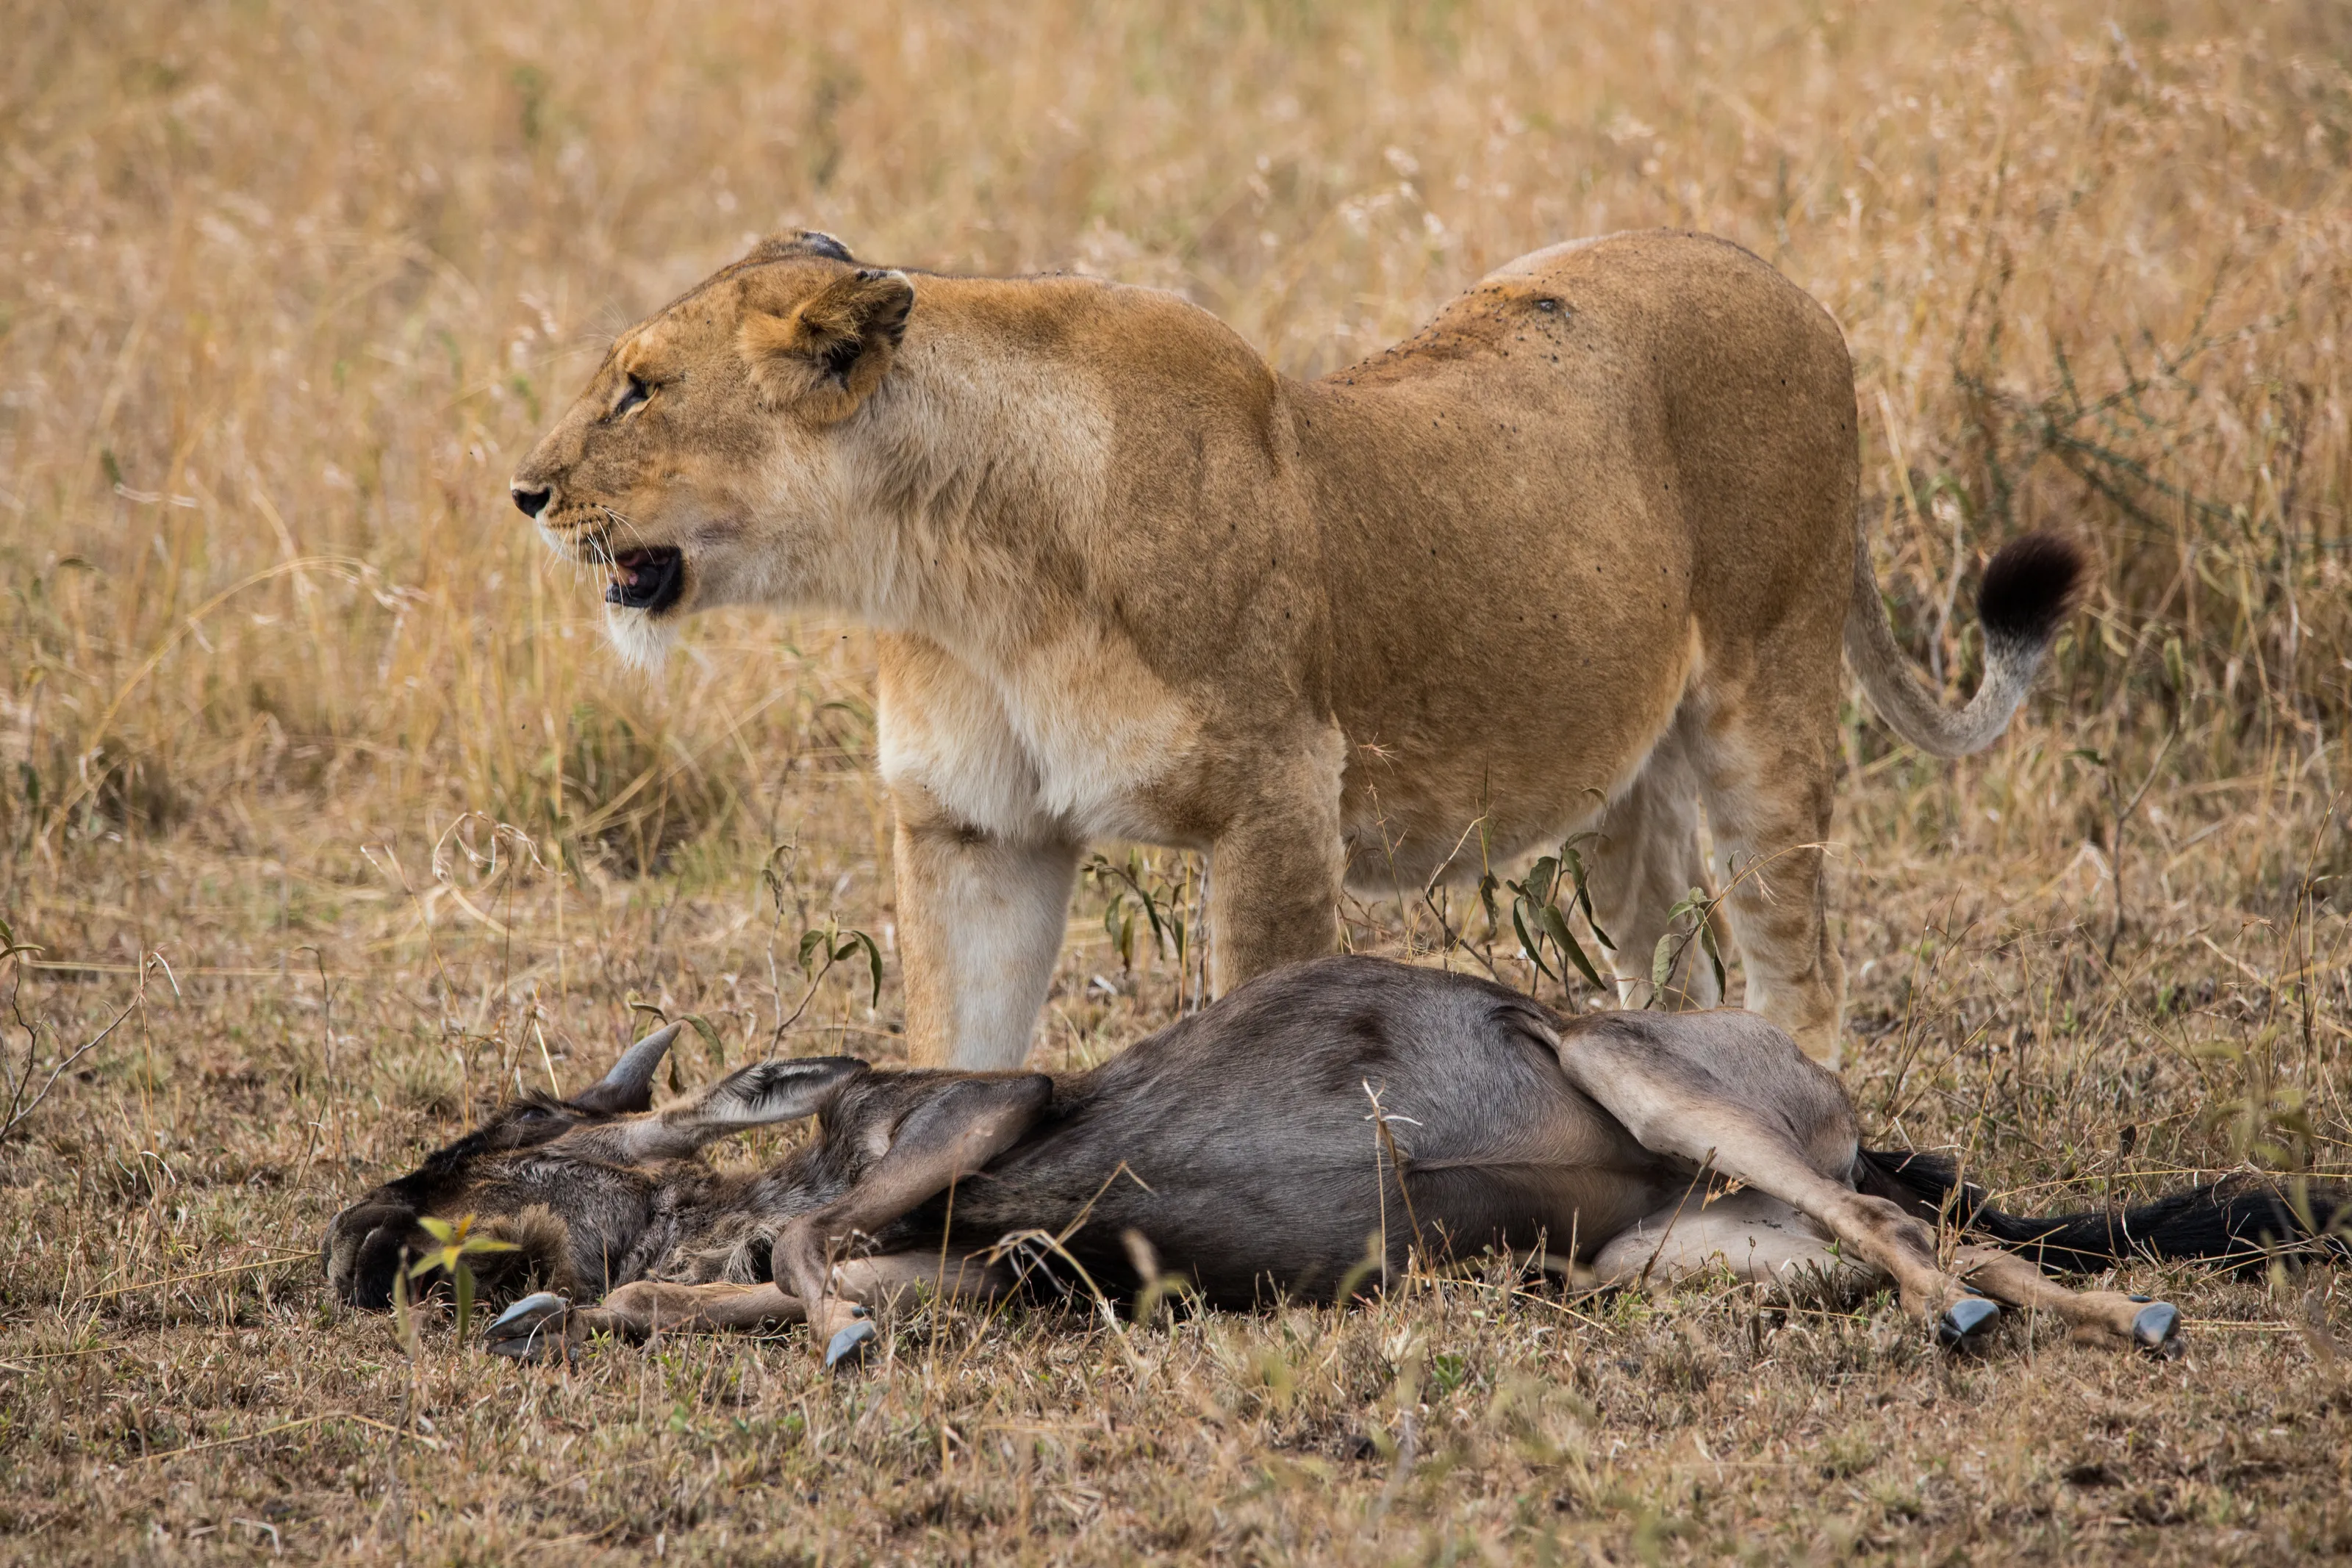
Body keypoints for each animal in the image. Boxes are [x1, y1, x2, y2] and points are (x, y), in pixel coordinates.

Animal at [510, 228, 2083, 1068]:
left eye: (641, 389)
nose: (523, 492)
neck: (961, 574)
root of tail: (1783, 279)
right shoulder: (974, 828)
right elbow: (956, 1043)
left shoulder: (1279, 793)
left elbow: (1260, 1020)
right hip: (1628, 780)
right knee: (1677, 957)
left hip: (1769, 693)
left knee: (1798, 970)